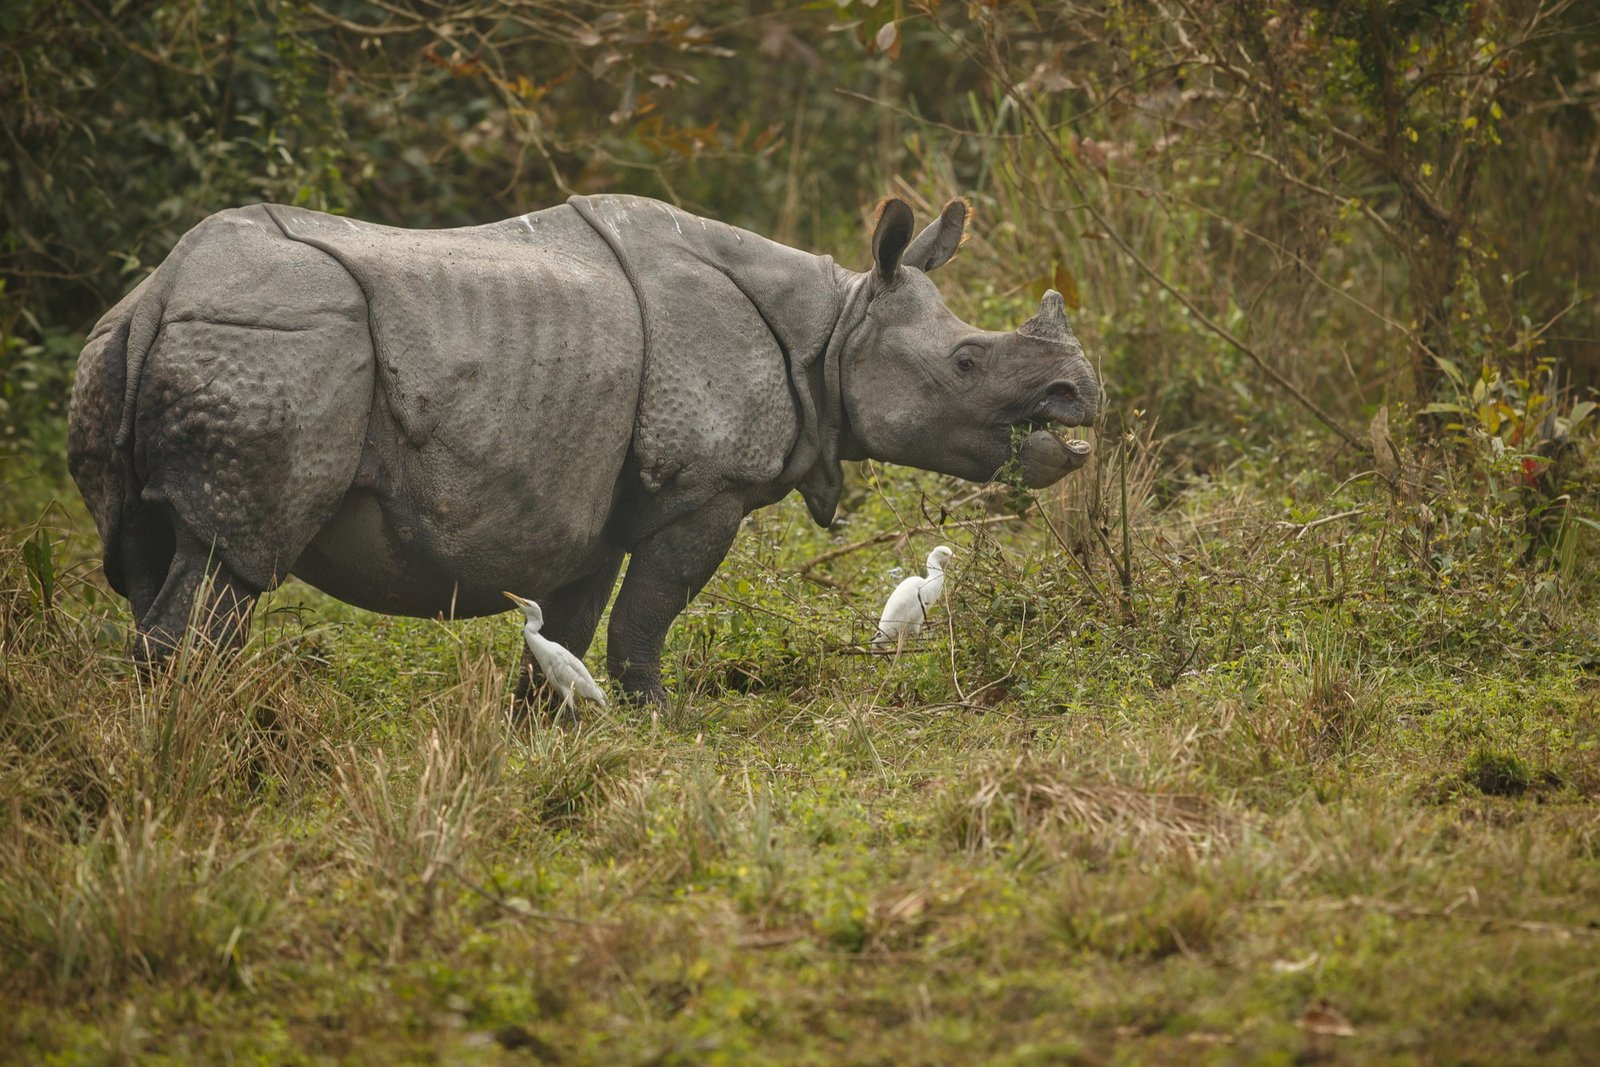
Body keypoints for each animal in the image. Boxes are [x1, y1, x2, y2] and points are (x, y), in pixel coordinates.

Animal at [67, 194, 1100, 704]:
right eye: (967, 362)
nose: (1080, 395)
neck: (835, 322)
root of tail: (162, 288)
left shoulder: (588, 499)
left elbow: (567, 624)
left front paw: (547, 723)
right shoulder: (705, 485)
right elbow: (650, 612)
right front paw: (658, 717)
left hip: (132, 348)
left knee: (159, 558)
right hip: (275, 343)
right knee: (232, 560)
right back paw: (200, 738)